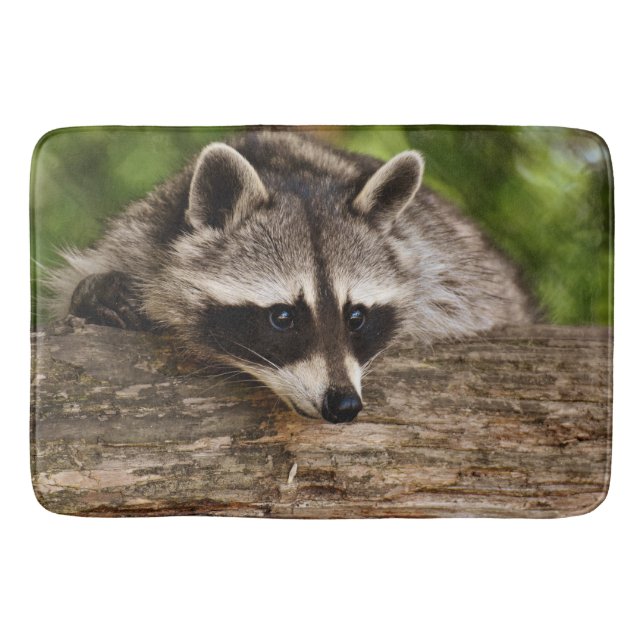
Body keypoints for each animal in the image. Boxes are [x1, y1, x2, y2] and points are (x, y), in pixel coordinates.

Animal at [48, 130, 534, 423]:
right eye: (282, 317)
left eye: (356, 316)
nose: (343, 405)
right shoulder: (140, 234)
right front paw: (96, 293)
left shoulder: (447, 265)